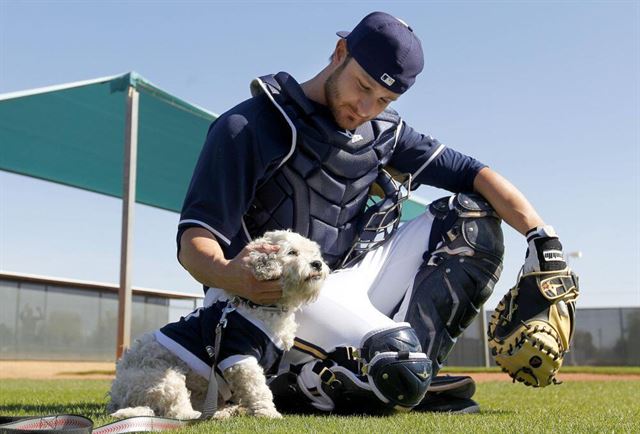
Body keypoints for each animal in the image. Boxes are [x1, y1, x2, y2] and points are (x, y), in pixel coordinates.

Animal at [107, 231, 328, 420]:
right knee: (177, 412)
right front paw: (268, 412)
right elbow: (258, 389)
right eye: (292, 252)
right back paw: (210, 415)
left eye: (314, 253)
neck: (260, 307)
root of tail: (117, 397)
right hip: (165, 378)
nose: (317, 264)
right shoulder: (239, 355)